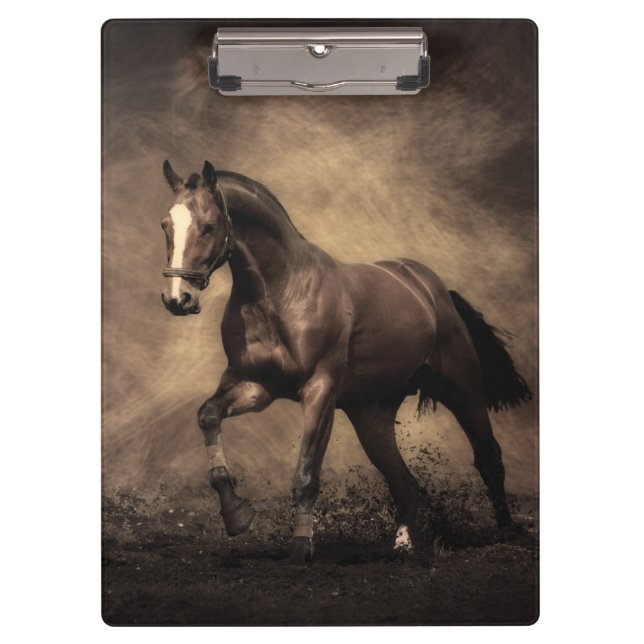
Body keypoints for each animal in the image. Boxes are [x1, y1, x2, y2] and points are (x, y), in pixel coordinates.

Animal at [159, 160, 532, 564]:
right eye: (166, 225)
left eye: (209, 226)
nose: (177, 299)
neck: (281, 294)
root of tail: (432, 290)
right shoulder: (254, 387)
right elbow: (208, 416)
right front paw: (237, 516)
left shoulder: (320, 392)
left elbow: (306, 473)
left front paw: (301, 548)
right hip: (371, 415)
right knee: (404, 482)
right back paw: (404, 546)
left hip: (461, 389)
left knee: (488, 457)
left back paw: (507, 532)